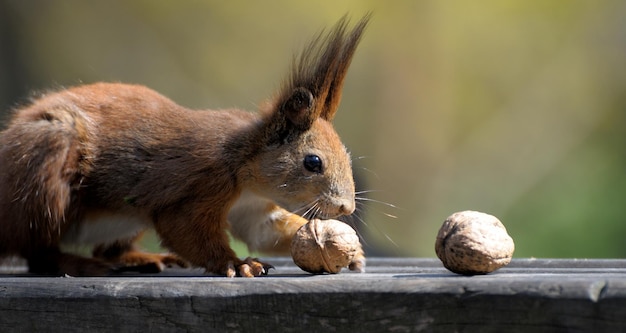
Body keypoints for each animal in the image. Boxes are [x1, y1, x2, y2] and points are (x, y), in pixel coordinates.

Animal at [0, 14, 368, 274]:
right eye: (313, 162)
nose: (346, 208)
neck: (243, 166)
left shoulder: (252, 208)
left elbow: (264, 232)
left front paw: (349, 251)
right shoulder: (198, 185)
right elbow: (187, 229)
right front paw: (237, 264)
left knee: (107, 249)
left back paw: (142, 258)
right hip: (44, 173)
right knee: (37, 252)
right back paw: (78, 265)